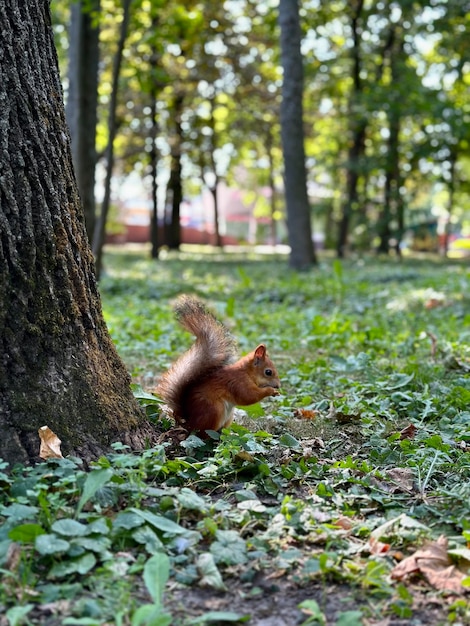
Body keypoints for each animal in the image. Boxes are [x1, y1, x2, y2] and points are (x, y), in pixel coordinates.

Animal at [156, 294, 280, 432]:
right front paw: (270, 391)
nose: (278, 385)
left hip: (228, 416)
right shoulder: (238, 383)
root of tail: (187, 421)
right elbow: (248, 397)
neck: (247, 373)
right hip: (215, 410)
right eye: (268, 372)